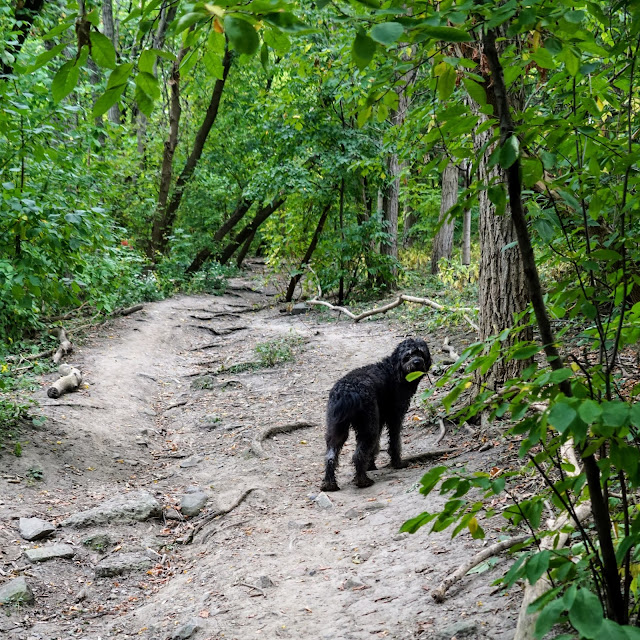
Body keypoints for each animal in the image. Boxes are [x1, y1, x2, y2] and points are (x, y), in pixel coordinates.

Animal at [322, 338, 432, 492]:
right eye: (408, 355)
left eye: (420, 353)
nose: (417, 362)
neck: (394, 370)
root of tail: (347, 391)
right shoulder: (395, 417)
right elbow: (395, 442)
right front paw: (397, 463)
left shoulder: (379, 420)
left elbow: (375, 446)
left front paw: (371, 465)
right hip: (368, 428)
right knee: (358, 455)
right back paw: (362, 481)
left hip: (337, 429)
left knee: (330, 456)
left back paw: (329, 483)